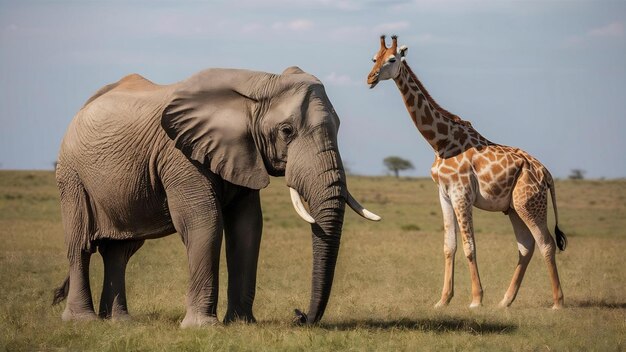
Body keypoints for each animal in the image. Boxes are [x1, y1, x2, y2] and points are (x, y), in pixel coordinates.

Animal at [52, 66, 376, 328]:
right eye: (286, 131)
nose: (299, 316)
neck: (257, 85)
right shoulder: (180, 155)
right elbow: (203, 222)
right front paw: (202, 327)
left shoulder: (243, 154)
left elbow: (248, 227)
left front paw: (242, 324)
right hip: (71, 175)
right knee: (80, 244)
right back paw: (82, 321)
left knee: (120, 250)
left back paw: (120, 322)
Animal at [366, 35, 564, 308]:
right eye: (374, 58)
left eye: (392, 59)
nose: (370, 78)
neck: (440, 142)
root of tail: (546, 173)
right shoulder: (444, 194)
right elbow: (449, 246)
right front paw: (443, 300)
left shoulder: (462, 193)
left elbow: (470, 246)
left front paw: (476, 300)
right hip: (513, 207)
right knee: (526, 246)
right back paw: (505, 301)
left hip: (530, 203)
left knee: (546, 243)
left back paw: (557, 303)